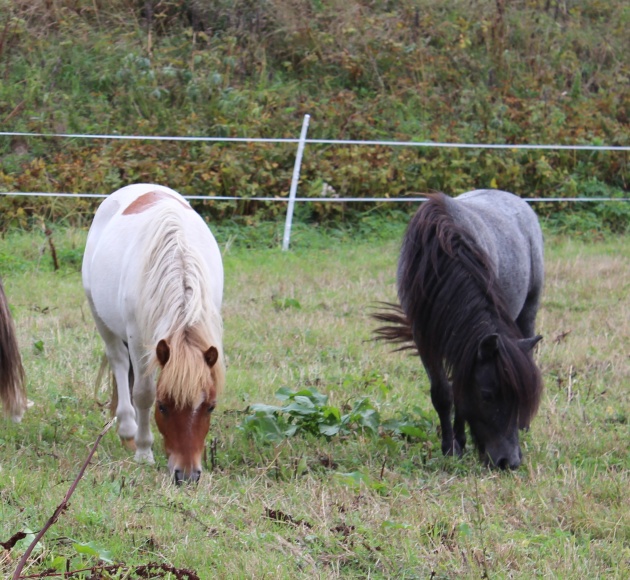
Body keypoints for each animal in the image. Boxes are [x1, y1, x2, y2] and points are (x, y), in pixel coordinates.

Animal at [83, 184, 227, 482]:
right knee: (118, 361)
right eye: (162, 406)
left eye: (210, 407)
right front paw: (143, 451)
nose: (187, 475)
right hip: (100, 317)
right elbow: (143, 393)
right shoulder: (139, 339)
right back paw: (128, 429)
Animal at [376, 190, 548, 472]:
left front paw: (460, 441)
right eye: (487, 395)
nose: (509, 461)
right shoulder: (425, 339)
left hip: (529, 308)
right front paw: (451, 447)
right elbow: (443, 394)